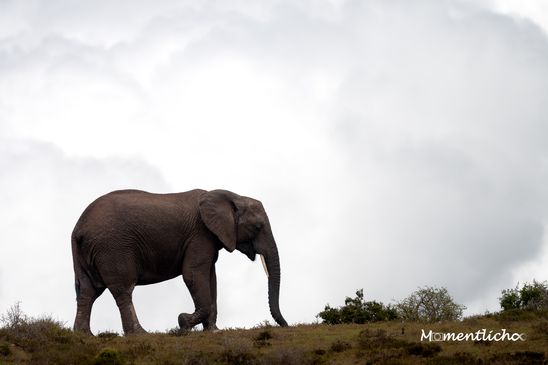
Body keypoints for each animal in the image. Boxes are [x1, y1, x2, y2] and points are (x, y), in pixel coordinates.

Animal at [70, 189, 288, 334]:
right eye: (258, 227)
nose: (285, 325)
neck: (231, 196)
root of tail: (79, 228)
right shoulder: (200, 235)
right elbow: (193, 275)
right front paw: (183, 322)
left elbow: (211, 278)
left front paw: (213, 331)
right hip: (112, 248)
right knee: (123, 289)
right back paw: (140, 334)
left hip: (87, 252)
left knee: (88, 290)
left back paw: (84, 336)